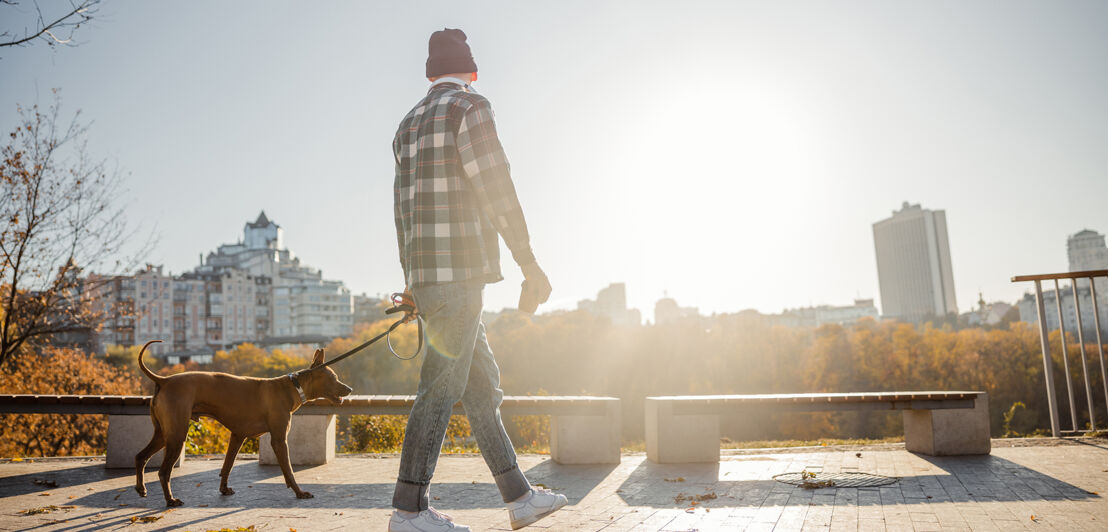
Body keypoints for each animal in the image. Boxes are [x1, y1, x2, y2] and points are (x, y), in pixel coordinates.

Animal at [134, 341, 352, 507]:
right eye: (334, 378)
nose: (349, 389)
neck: (293, 387)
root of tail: (165, 380)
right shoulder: (279, 440)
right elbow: (288, 470)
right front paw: (299, 492)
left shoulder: (238, 435)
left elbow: (227, 465)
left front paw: (223, 489)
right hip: (177, 436)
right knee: (163, 471)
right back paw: (170, 500)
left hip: (163, 434)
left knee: (140, 456)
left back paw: (141, 488)